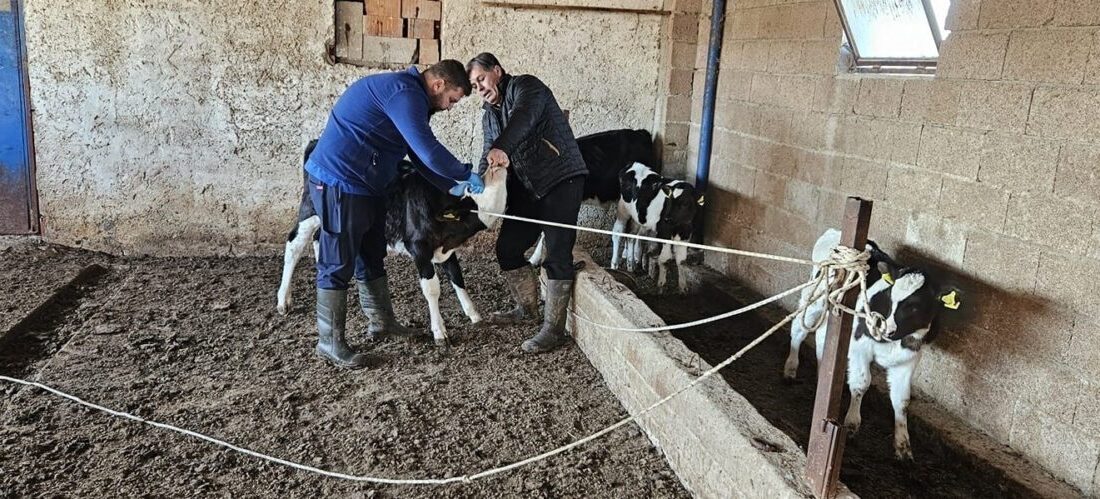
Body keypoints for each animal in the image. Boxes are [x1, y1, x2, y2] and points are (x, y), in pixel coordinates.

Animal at [611, 163, 704, 294]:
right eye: (669, 200)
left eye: (685, 203)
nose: (667, 218)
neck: (679, 224)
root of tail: (633, 164)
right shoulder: (664, 231)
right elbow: (665, 259)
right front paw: (661, 286)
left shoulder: (685, 233)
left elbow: (681, 261)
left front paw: (683, 288)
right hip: (623, 209)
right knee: (617, 233)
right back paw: (614, 264)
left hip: (638, 217)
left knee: (632, 236)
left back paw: (631, 265)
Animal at [783, 229, 963, 459]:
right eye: (891, 298)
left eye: (915, 306)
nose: (885, 330)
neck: (895, 342)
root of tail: (833, 232)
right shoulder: (859, 346)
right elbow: (861, 383)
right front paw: (851, 424)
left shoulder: (908, 361)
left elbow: (902, 401)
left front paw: (903, 445)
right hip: (816, 299)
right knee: (799, 329)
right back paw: (790, 369)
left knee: (823, 337)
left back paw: (823, 373)